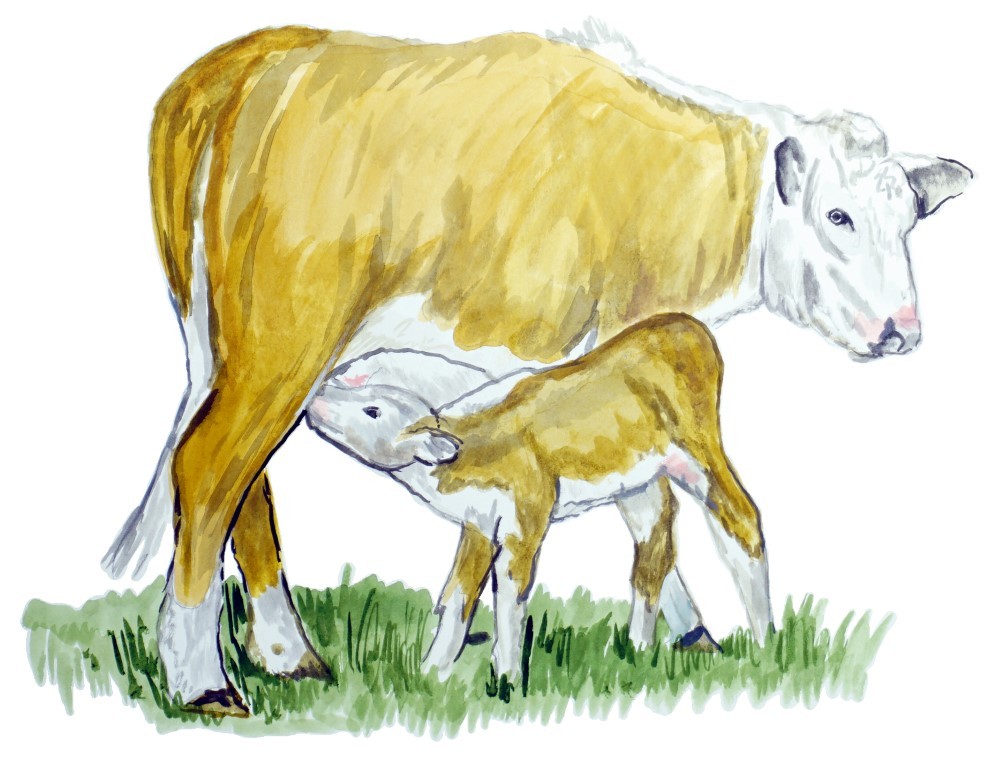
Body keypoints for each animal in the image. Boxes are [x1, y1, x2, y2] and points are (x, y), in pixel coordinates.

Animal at [99, 23, 971, 715]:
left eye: (910, 220)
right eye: (838, 215)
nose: (902, 330)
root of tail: (246, 60)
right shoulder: (605, 346)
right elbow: (644, 504)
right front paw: (675, 632)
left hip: (250, 350)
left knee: (246, 478)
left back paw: (289, 654)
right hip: (285, 340)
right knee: (210, 467)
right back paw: (203, 682)